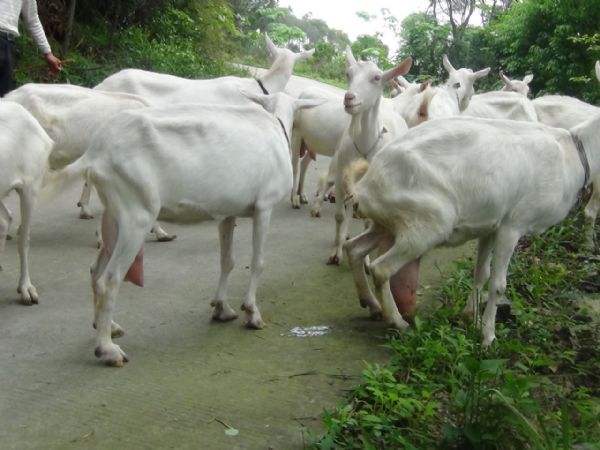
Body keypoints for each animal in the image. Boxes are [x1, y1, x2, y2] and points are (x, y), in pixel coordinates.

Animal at [48, 91, 324, 366]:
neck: (275, 123)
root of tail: (97, 151)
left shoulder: (228, 213)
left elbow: (227, 260)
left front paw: (222, 309)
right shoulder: (264, 206)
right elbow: (258, 262)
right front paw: (252, 313)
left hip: (113, 214)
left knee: (95, 271)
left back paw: (108, 326)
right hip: (137, 216)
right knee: (110, 279)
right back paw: (108, 350)